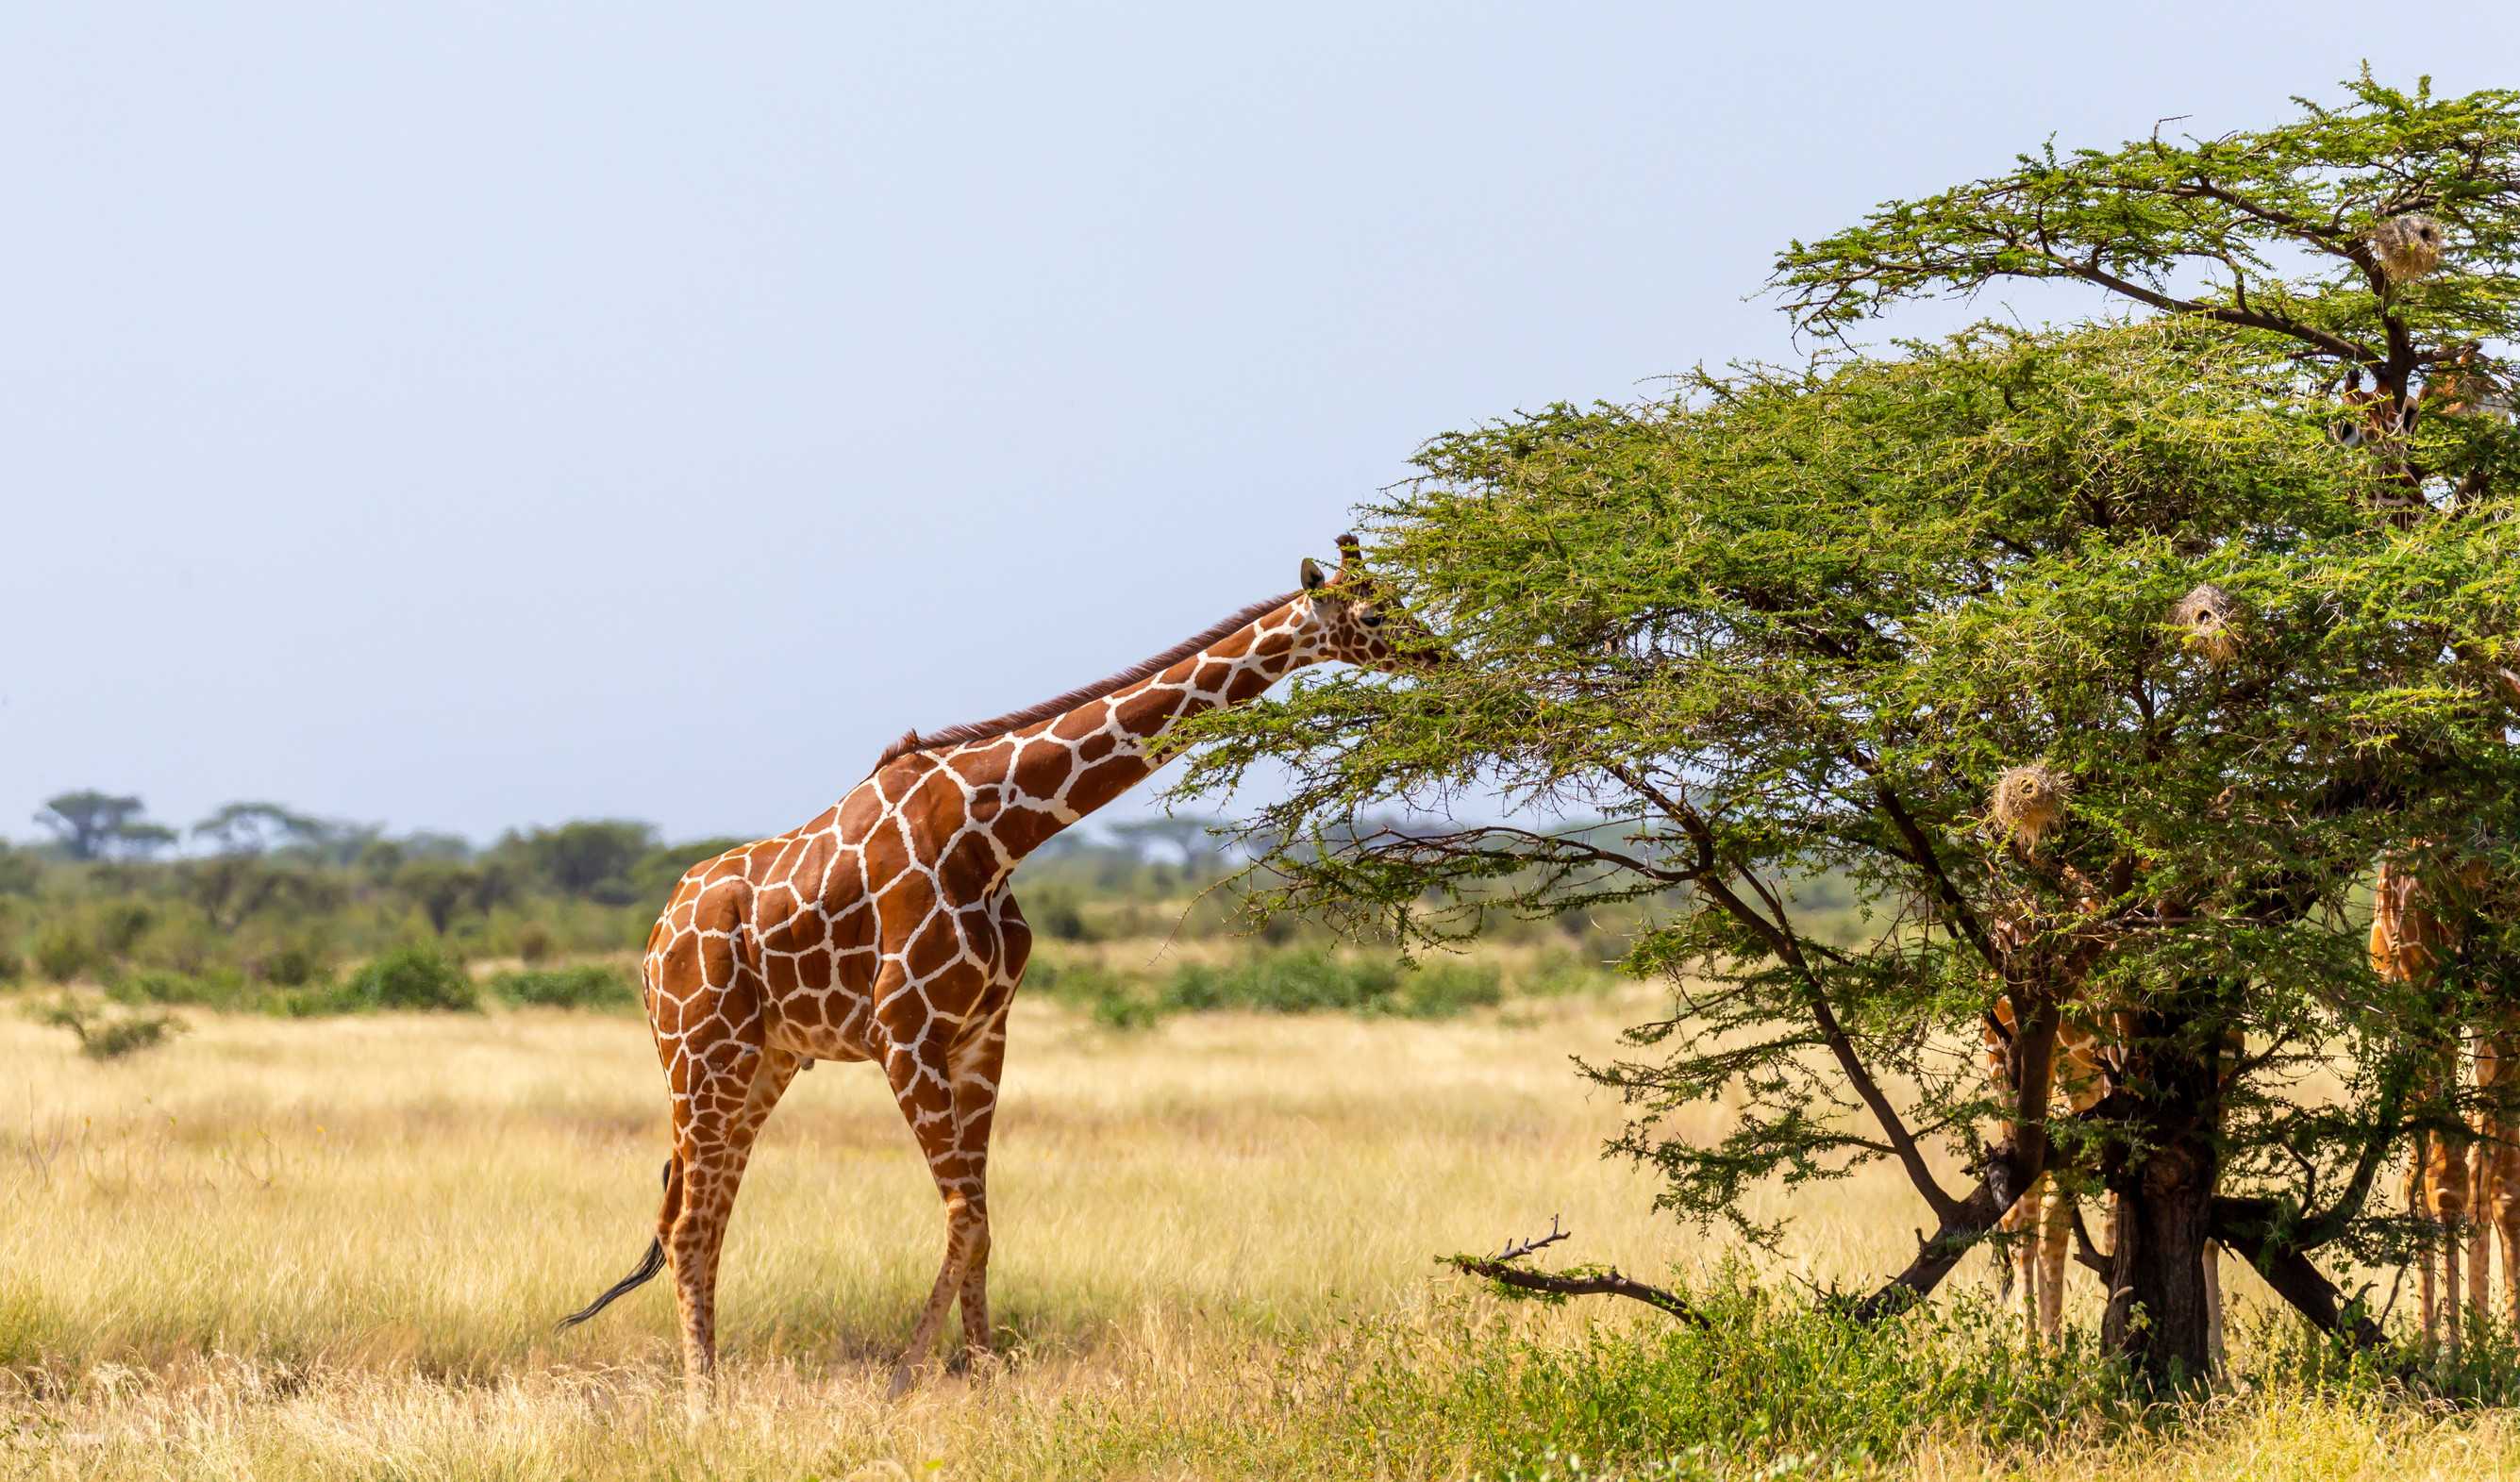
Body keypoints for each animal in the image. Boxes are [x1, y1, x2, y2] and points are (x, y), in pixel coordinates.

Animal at [557, 535, 1430, 1403]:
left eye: (1400, 597)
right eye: (1373, 611)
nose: (1440, 655)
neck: (992, 832)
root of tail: (653, 942)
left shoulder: (981, 1032)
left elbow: (981, 1215)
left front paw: (981, 1379)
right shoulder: (903, 1035)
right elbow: (964, 1215)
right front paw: (904, 1378)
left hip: (763, 1061)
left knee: (700, 1217)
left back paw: (710, 1382)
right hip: (701, 1056)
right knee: (688, 1221)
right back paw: (703, 1398)